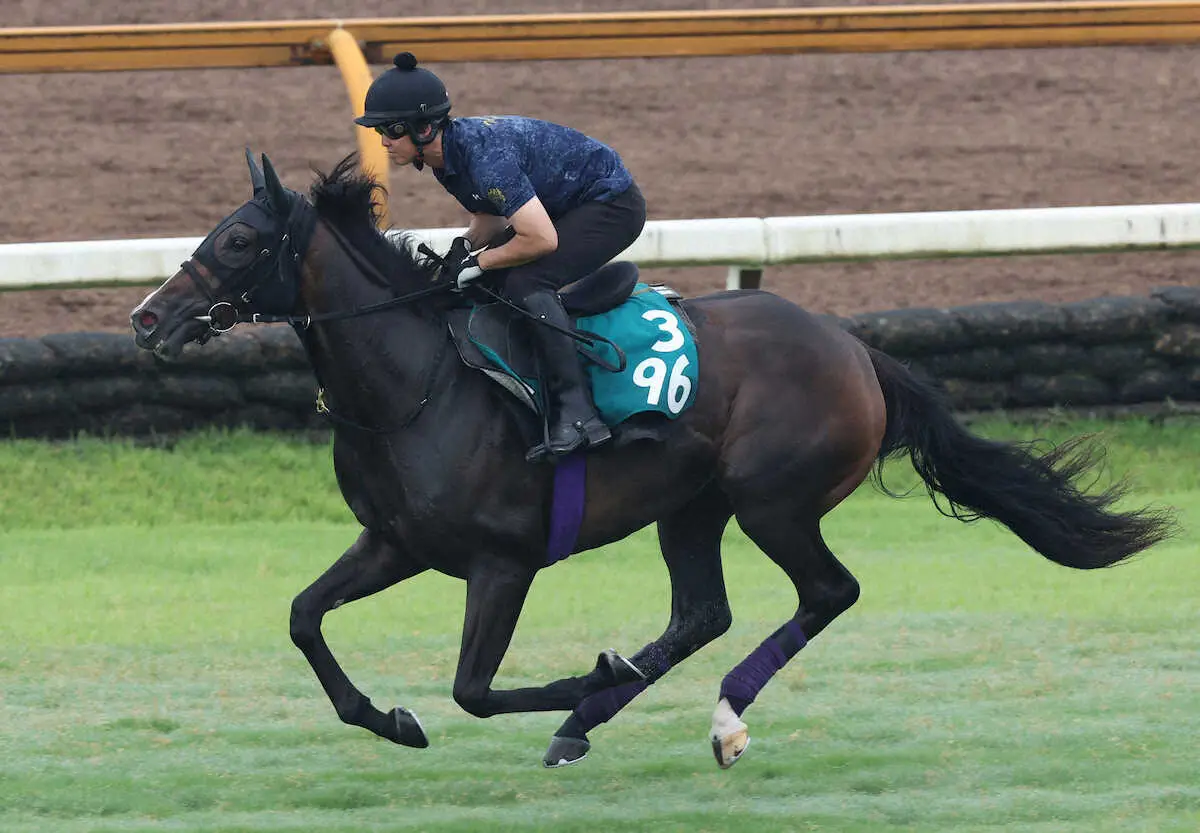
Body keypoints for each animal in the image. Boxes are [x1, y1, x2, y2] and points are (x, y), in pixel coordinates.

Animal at [129, 153, 1171, 772]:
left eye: (240, 239)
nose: (146, 318)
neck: (412, 382)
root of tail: (854, 346)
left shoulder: (503, 561)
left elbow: (474, 688)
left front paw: (581, 676)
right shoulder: (395, 543)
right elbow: (305, 619)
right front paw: (391, 718)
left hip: (773, 499)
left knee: (826, 592)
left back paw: (702, 717)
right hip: (692, 505)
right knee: (703, 611)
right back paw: (596, 720)